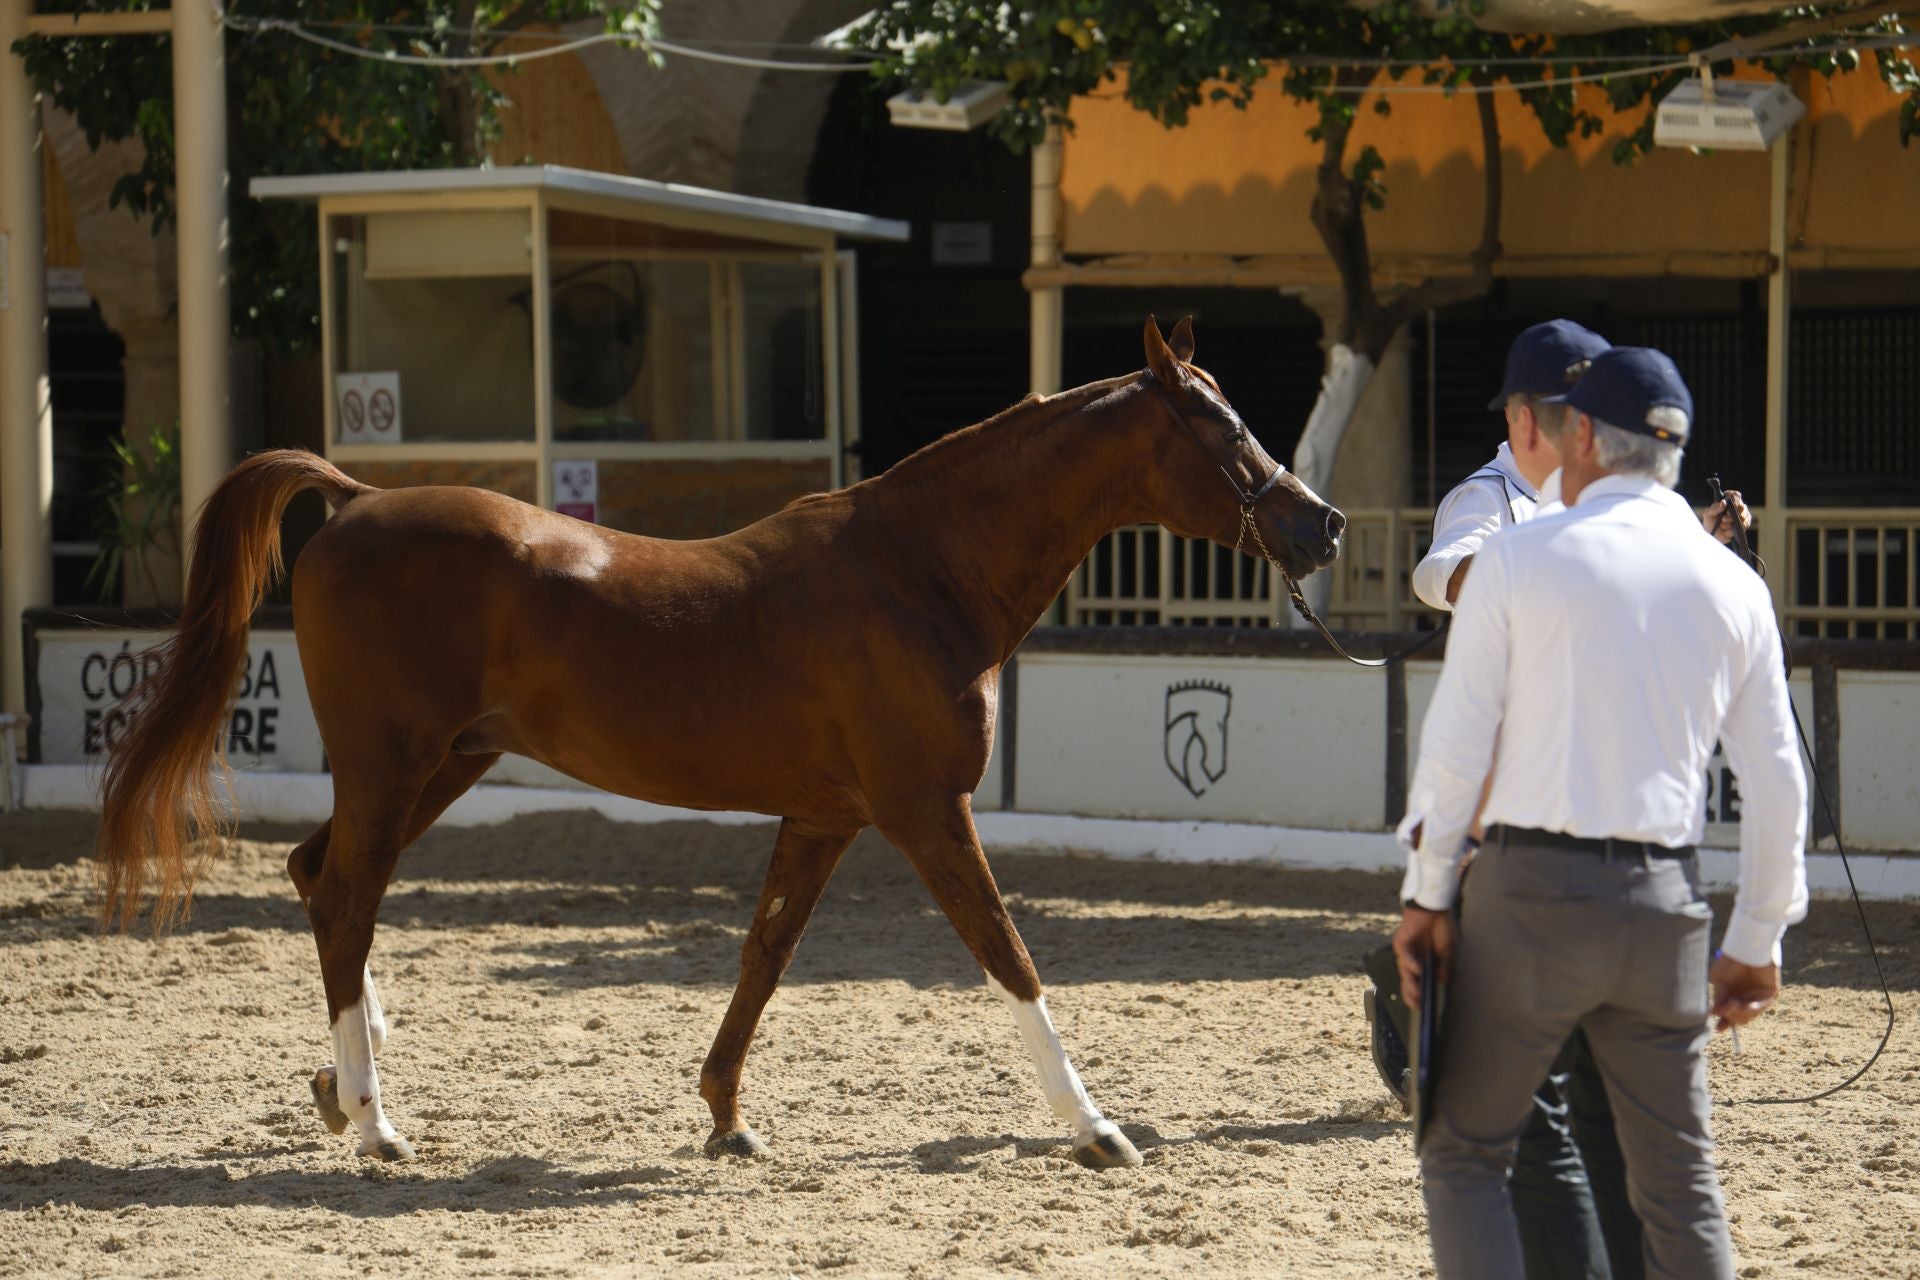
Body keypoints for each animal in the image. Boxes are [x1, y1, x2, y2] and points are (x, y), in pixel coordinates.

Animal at [97, 315, 1344, 1169]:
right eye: (1225, 427)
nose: (1321, 523)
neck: (919, 571)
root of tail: (354, 499)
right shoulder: (925, 809)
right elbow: (1009, 953)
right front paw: (1095, 1126)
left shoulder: (829, 814)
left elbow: (765, 952)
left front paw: (726, 1115)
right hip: (394, 761)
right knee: (347, 893)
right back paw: (375, 1123)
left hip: (443, 762)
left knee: (323, 880)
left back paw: (340, 1083)